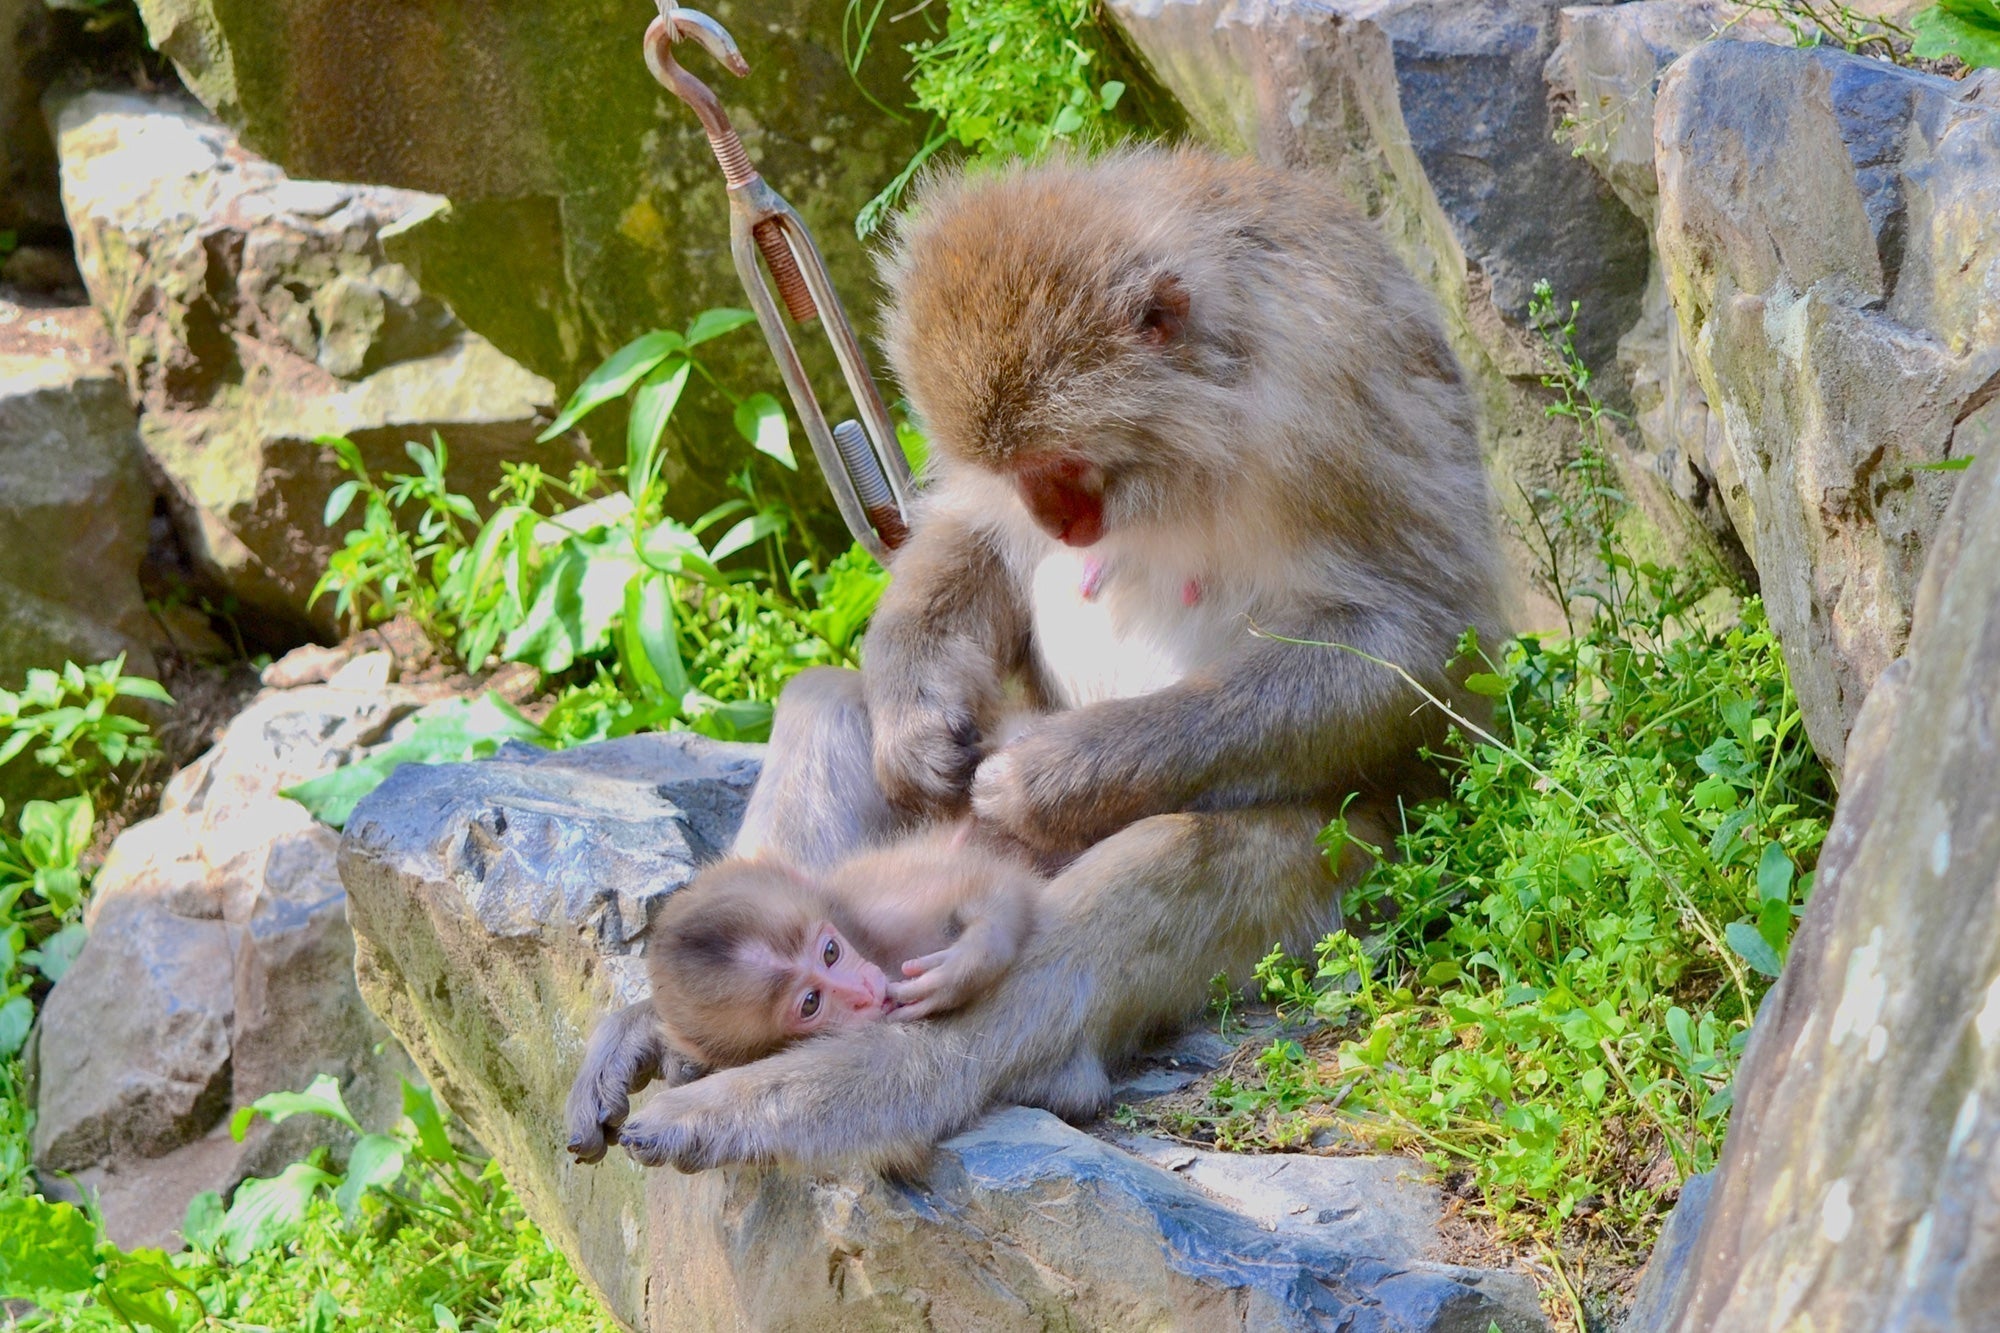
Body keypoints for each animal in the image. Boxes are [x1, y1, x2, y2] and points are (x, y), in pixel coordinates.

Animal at [565, 147, 1506, 1176]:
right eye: (1016, 471)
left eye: (1063, 459)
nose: (1059, 521)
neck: (1215, 395)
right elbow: (969, 535)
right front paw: (914, 721)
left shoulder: (1330, 402)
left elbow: (1418, 645)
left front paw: (1056, 775)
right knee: (828, 700)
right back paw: (676, 1023)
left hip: (1345, 866)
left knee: (1166, 858)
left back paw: (840, 1089)